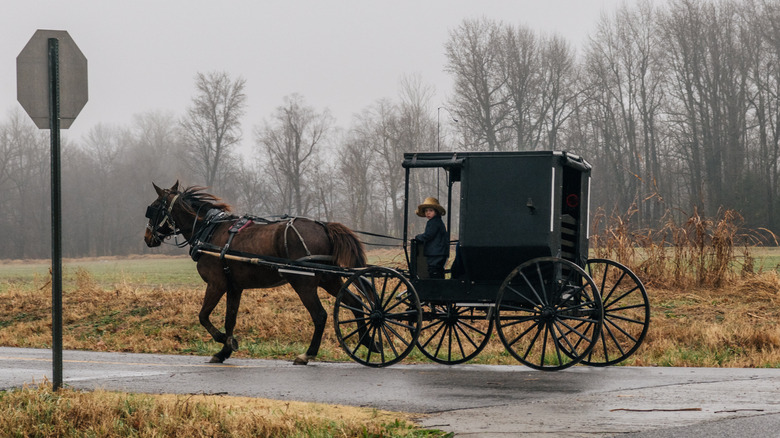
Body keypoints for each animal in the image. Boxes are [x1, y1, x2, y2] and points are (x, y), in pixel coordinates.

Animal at [144, 180, 372, 364]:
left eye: (153, 208)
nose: (147, 237)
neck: (208, 231)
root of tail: (324, 226)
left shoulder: (216, 284)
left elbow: (203, 316)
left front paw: (225, 341)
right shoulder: (234, 287)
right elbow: (230, 319)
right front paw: (224, 351)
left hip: (303, 283)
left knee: (320, 315)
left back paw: (307, 354)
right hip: (329, 279)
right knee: (355, 304)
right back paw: (369, 341)